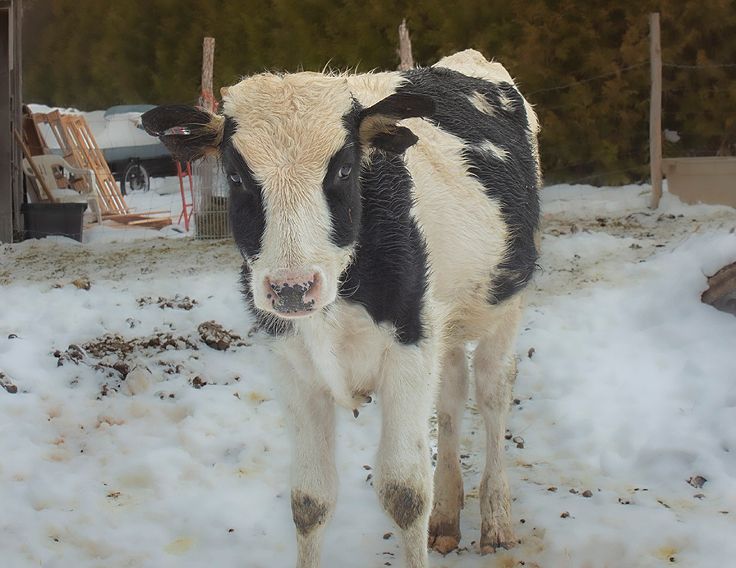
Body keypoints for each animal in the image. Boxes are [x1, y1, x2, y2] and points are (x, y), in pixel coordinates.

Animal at [142, 49, 540, 568]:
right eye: (235, 175)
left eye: (346, 169)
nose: (292, 288)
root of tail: (468, 59)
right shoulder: (292, 365)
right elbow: (310, 500)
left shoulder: (409, 351)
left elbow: (404, 492)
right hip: (445, 319)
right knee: (452, 395)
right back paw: (447, 519)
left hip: (504, 301)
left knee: (493, 392)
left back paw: (495, 518)